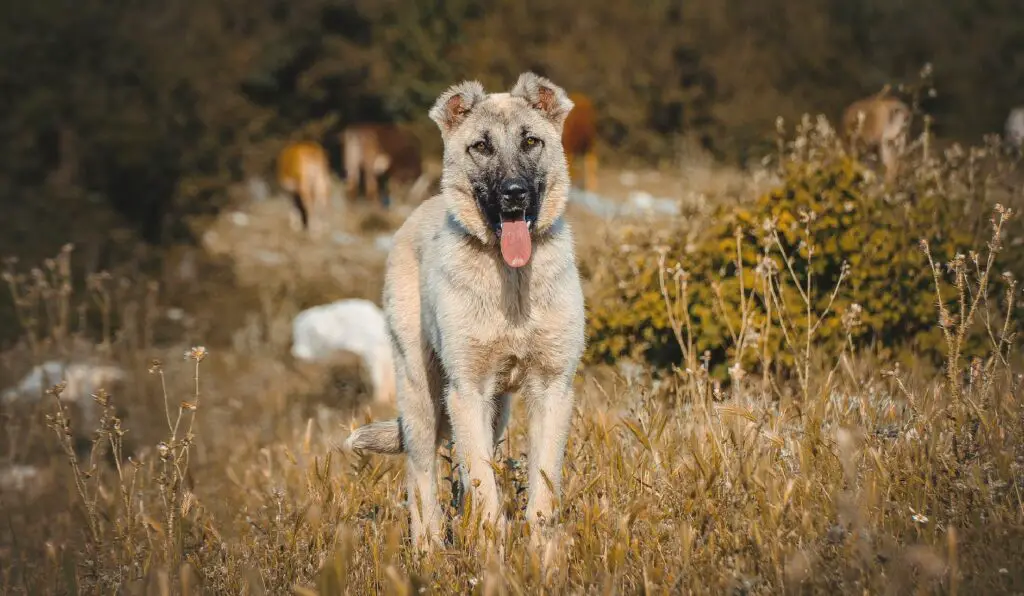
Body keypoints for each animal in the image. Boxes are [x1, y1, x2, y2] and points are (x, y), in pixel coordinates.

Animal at [344, 72, 585, 552]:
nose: (515, 195)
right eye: (481, 146)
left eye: (531, 141)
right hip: (421, 393)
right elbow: (484, 488)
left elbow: (541, 493)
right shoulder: (467, 390)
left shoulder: (551, 389)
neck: (512, 283)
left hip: (496, 410)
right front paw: (493, 555)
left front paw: (543, 558)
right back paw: (430, 550)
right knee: (421, 476)